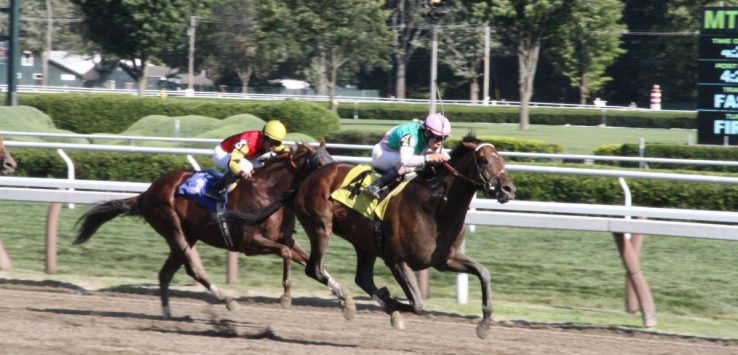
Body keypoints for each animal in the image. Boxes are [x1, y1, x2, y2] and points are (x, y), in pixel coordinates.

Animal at [73, 142, 332, 320]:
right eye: (320, 163)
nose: (333, 185)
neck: (268, 192)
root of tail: (146, 193)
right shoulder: (250, 243)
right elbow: (286, 255)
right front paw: (286, 298)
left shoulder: (286, 239)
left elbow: (312, 263)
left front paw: (338, 294)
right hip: (174, 229)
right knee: (194, 269)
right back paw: (228, 300)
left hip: (188, 235)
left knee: (166, 273)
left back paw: (167, 312)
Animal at [294, 136, 512, 340]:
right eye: (483, 160)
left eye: (502, 159)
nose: (509, 189)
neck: (433, 208)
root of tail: (319, 170)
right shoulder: (396, 261)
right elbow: (417, 303)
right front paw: (390, 304)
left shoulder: (445, 260)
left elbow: (483, 272)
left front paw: (484, 324)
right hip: (320, 227)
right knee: (315, 268)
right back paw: (347, 301)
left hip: (364, 243)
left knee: (362, 278)